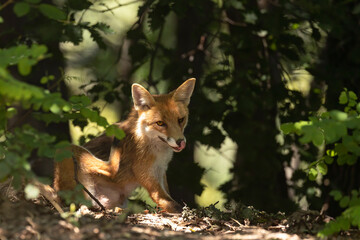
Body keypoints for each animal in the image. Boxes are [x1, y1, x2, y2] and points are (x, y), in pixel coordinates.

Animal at [52, 78, 197, 212]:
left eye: (181, 120)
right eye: (160, 123)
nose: (180, 142)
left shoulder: (161, 171)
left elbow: (168, 197)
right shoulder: (146, 175)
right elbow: (169, 203)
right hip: (70, 152)